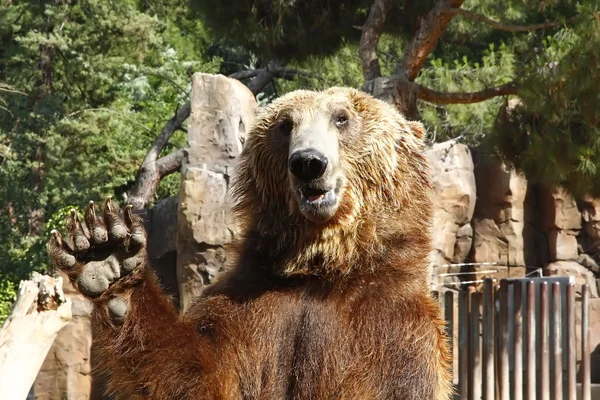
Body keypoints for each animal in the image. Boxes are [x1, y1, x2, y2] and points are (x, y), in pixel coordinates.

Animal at [48, 86, 450, 398]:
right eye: (286, 124)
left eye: (342, 118)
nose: (308, 162)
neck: (321, 268)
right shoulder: (250, 305)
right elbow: (201, 375)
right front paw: (107, 255)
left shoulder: (391, 331)